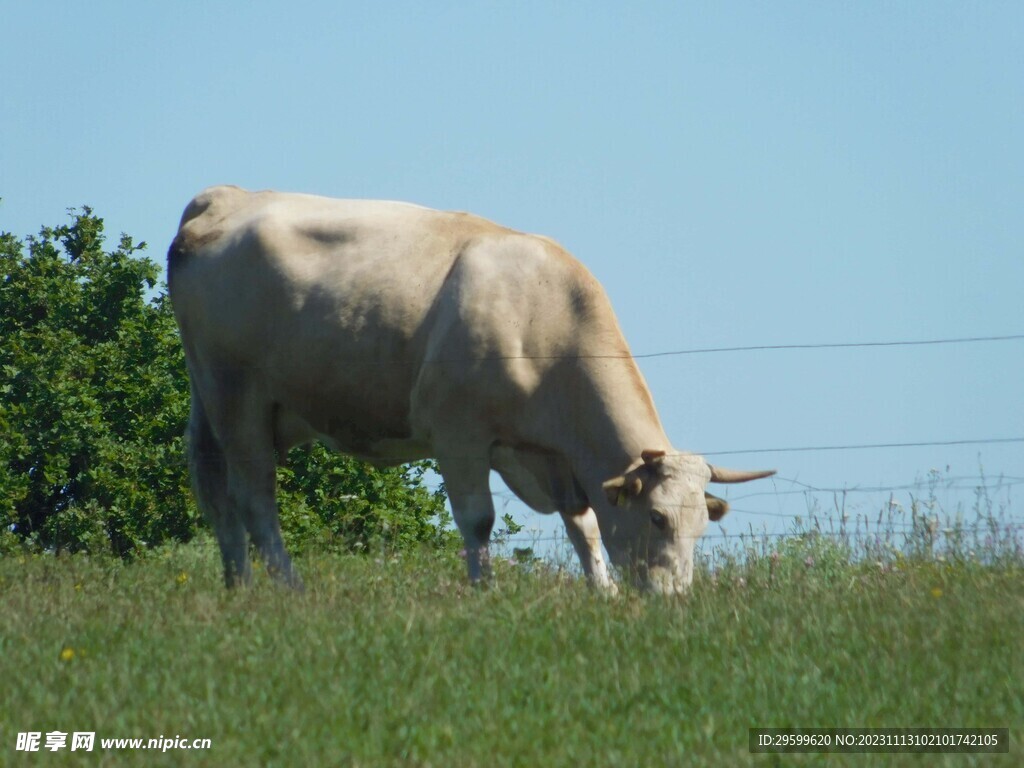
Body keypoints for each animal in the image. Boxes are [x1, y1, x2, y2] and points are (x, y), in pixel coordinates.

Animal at [169, 186, 774, 593]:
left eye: (702, 524)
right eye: (657, 518)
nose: (674, 597)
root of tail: (224, 197)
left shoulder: (555, 461)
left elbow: (583, 528)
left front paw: (601, 593)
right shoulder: (458, 435)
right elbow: (478, 520)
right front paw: (482, 591)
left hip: (215, 398)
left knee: (215, 491)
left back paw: (239, 586)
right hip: (236, 396)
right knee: (253, 497)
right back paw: (288, 587)